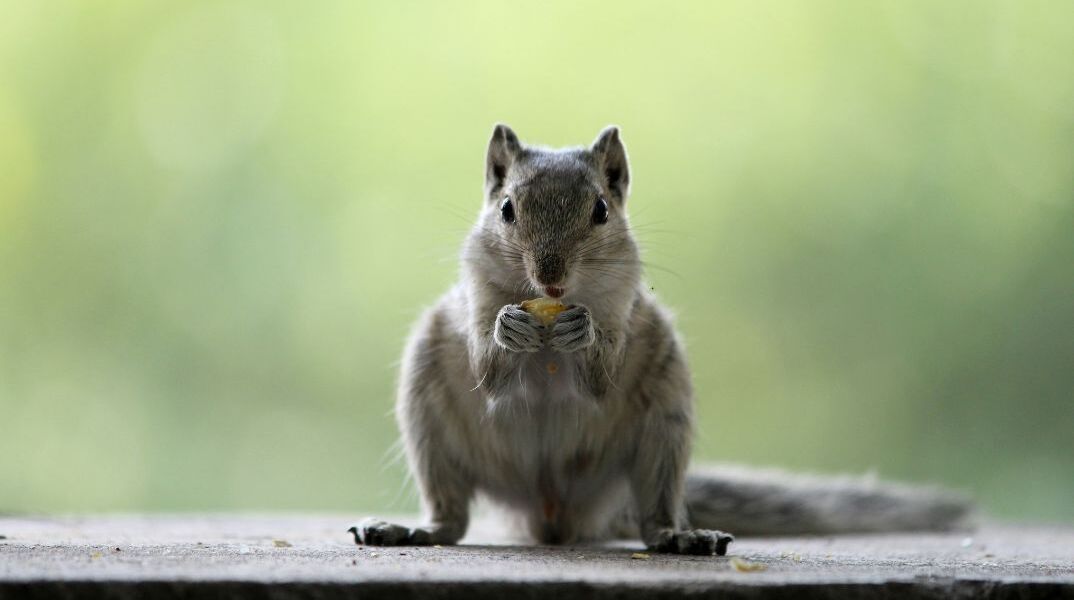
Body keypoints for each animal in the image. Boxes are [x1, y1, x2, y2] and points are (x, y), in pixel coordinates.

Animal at [347, 124, 970, 558]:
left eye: (601, 210)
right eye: (506, 209)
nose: (550, 278)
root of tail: (555, 513)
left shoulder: (624, 305)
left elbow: (601, 376)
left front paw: (584, 334)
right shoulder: (474, 296)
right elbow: (486, 368)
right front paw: (508, 328)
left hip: (663, 429)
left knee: (652, 518)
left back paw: (679, 537)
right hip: (429, 419)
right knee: (451, 519)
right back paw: (412, 529)